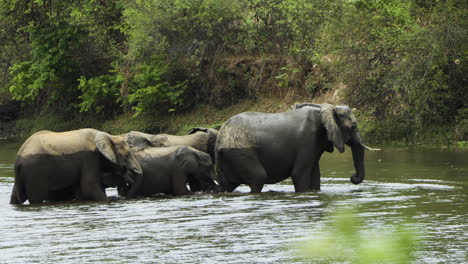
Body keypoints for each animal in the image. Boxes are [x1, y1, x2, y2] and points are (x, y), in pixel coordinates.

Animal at [9, 128, 143, 204]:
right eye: (127, 155)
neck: (109, 136)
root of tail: (18, 159)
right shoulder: (89, 158)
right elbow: (88, 187)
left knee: (16, 196)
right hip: (35, 171)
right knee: (36, 198)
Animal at [216, 102, 380, 192]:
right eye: (353, 126)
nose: (352, 177)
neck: (324, 108)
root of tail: (219, 139)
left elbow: (315, 174)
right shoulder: (307, 139)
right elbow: (299, 174)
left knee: (228, 185)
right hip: (242, 153)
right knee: (258, 178)